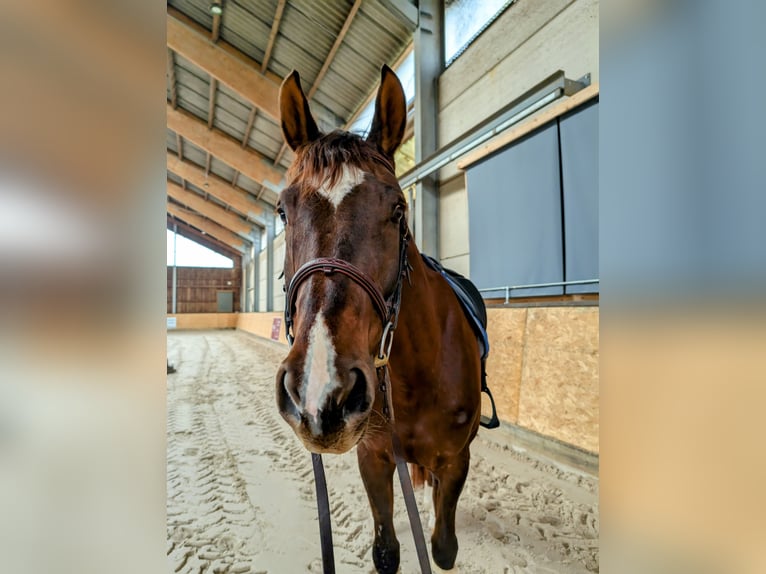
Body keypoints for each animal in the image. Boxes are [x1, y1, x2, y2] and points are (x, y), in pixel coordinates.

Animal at [274, 65, 480, 572]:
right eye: (283, 211)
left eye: (398, 209)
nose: (320, 394)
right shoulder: (374, 457)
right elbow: (386, 551)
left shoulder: (456, 461)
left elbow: (442, 549)